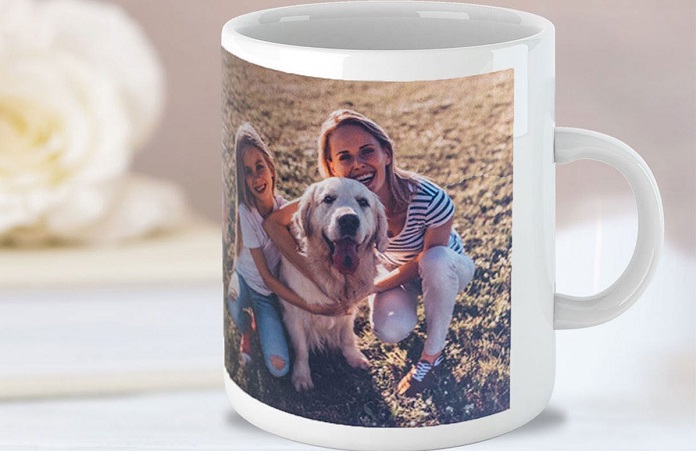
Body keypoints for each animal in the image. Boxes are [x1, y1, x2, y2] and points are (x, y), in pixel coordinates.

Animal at [278, 177, 388, 392]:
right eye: (328, 199)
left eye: (363, 202)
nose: (348, 220)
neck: (335, 276)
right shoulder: (293, 314)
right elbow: (301, 348)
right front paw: (301, 377)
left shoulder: (347, 311)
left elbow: (346, 336)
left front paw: (354, 357)